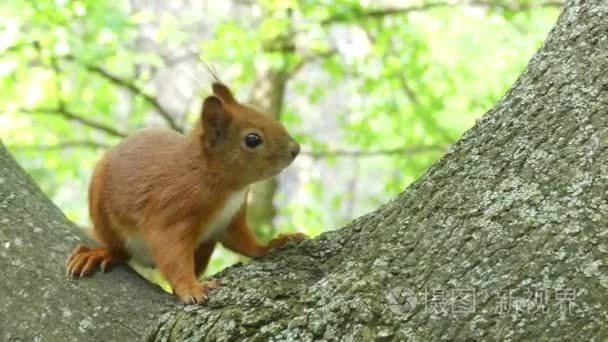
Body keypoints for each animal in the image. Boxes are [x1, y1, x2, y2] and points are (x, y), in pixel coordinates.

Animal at [67, 81, 304, 304]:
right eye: (253, 139)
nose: (296, 149)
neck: (225, 187)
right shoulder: (172, 209)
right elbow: (171, 253)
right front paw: (191, 288)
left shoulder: (229, 219)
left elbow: (243, 242)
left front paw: (273, 244)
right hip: (102, 213)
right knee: (119, 250)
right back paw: (101, 253)